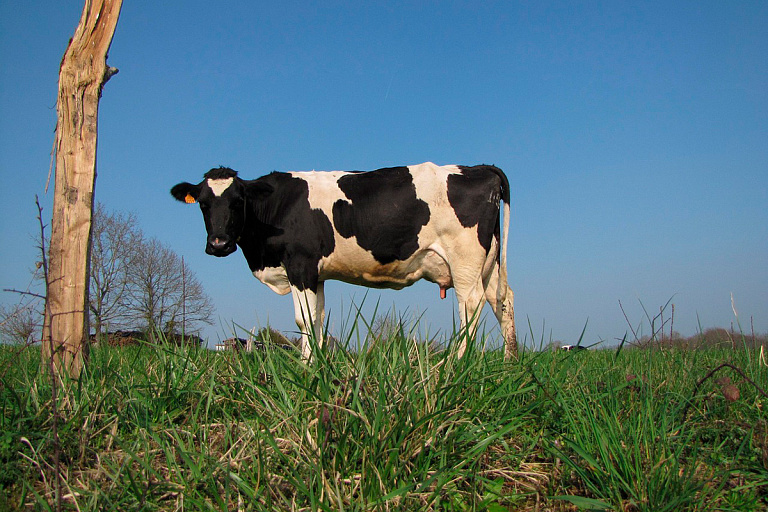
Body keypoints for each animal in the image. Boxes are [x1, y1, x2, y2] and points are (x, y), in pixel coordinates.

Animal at [171, 162, 516, 360]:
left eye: (237, 201)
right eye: (203, 203)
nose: (218, 243)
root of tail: (478, 167)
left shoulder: (300, 265)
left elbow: (304, 320)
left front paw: (308, 368)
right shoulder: (316, 274)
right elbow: (318, 320)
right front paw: (319, 364)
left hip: (465, 260)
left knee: (469, 306)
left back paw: (457, 363)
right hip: (488, 263)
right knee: (502, 301)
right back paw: (510, 361)